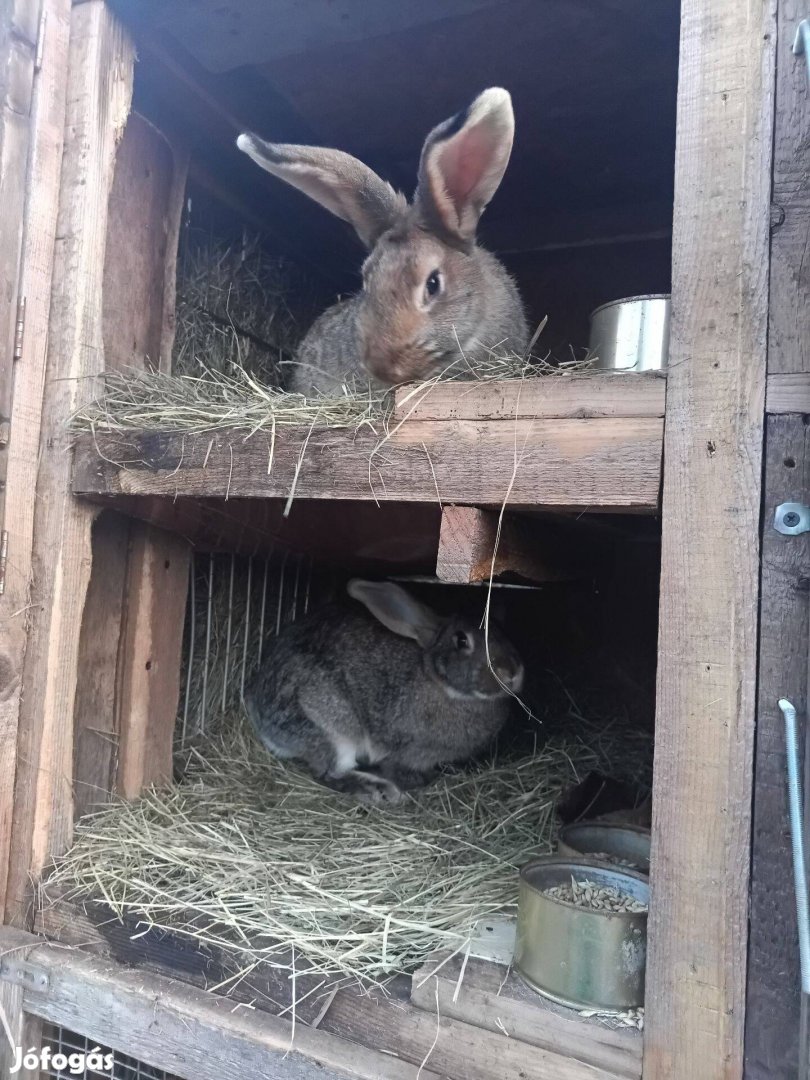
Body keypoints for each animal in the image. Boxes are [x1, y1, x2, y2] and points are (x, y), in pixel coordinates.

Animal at [244, 583, 527, 803]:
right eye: (461, 640)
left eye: (502, 630)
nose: (511, 672)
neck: (440, 684)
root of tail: (260, 718)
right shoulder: (402, 749)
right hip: (331, 724)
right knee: (331, 772)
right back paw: (381, 789)